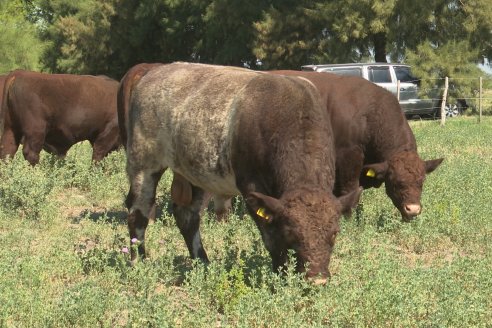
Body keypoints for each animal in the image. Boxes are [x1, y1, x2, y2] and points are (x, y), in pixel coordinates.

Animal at [123, 62, 362, 282]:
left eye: (334, 233)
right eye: (291, 232)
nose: (317, 278)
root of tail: (153, 72)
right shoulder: (253, 189)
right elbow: (271, 238)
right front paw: (280, 275)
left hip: (194, 174)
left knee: (187, 215)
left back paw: (203, 263)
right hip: (144, 163)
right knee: (138, 212)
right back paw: (138, 262)